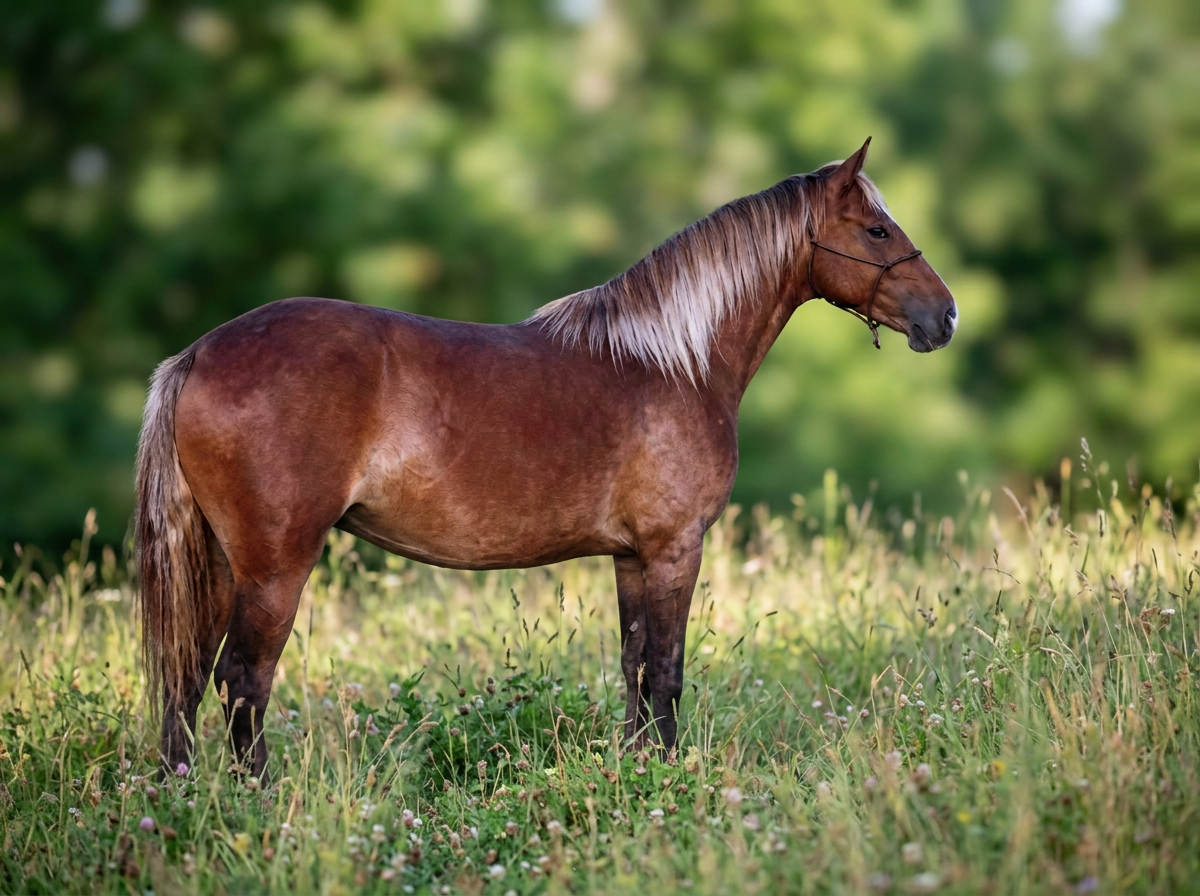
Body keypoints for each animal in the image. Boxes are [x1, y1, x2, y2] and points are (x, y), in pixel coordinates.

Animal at [136, 138, 957, 779]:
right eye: (877, 229)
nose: (945, 316)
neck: (675, 361)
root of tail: (197, 354)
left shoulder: (632, 557)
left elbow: (634, 671)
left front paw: (638, 774)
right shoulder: (674, 548)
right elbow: (667, 674)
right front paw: (666, 781)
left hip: (217, 562)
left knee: (185, 678)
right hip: (274, 566)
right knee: (242, 682)